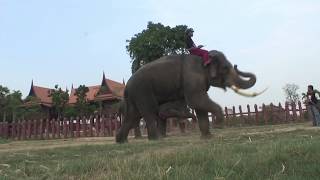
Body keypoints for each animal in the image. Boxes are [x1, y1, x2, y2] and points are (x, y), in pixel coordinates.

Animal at [116, 50, 258, 143]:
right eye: (225, 68)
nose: (237, 65)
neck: (204, 59)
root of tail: (127, 86)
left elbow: (199, 106)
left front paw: (207, 137)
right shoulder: (192, 78)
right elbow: (196, 101)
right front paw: (218, 124)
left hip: (134, 95)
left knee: (132, 115)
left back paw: (121, 141)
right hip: (142, 91)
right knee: (148, 112)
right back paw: (156, 140)